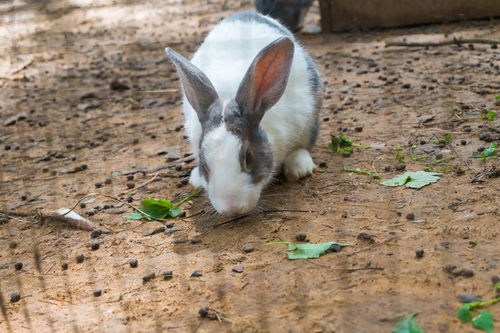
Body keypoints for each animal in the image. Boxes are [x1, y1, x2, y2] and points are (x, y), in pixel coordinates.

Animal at [165, 11, 324, 215]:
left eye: (248, 157)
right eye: (204, 163)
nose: (231, 208)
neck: (227, 99)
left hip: (311, 117)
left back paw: (299, 167)